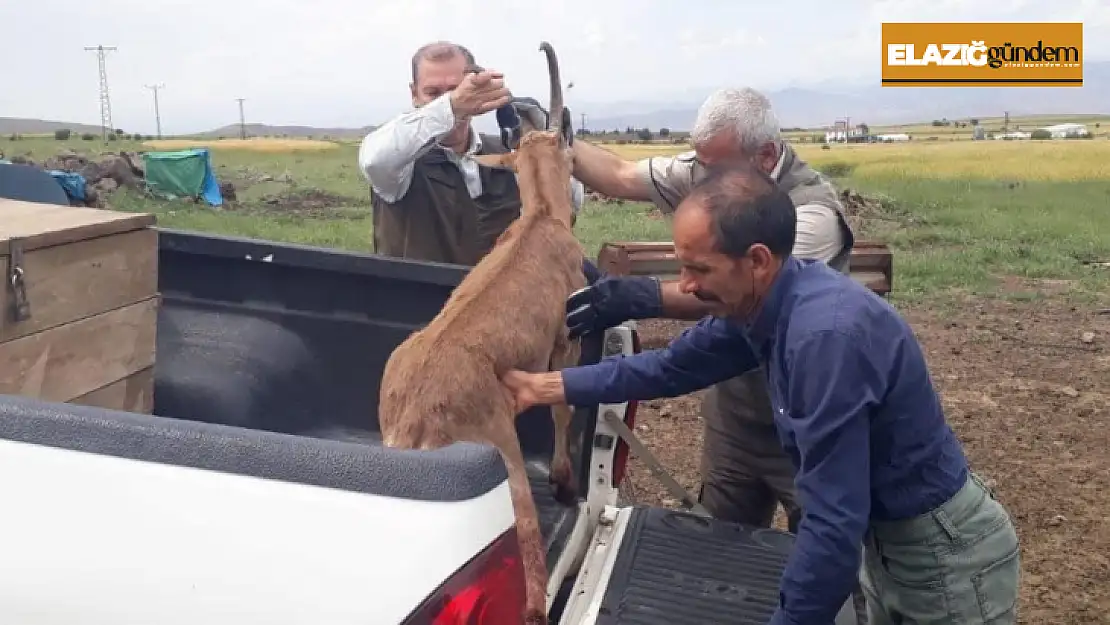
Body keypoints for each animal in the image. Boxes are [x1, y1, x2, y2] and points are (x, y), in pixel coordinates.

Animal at [381, 41, 586, 621]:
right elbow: (562, 408)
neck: (540, 220)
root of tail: (414, 424)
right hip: (505, 455)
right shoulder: (565, 342)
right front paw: (564, 482)